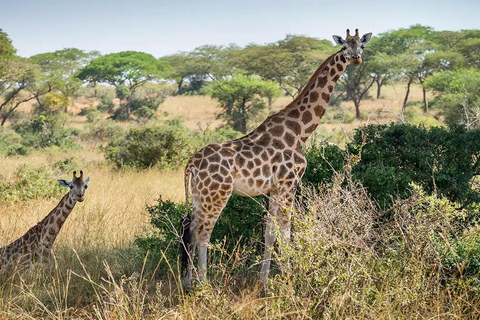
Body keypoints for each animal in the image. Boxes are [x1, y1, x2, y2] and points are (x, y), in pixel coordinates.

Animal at [180, 28, 372, 290]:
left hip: (200, 195)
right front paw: (292, 277)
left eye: (361, 46)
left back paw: (188, 283)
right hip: (218, 194)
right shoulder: (289, 183)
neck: (300, 131)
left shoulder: (275, 188)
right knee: (203, 233)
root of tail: (191, 163)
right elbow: (287, 230)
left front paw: (264, 283)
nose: (356, 59)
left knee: (190, 230)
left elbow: (270, 231)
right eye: (344, 47)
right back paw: (204, 285)